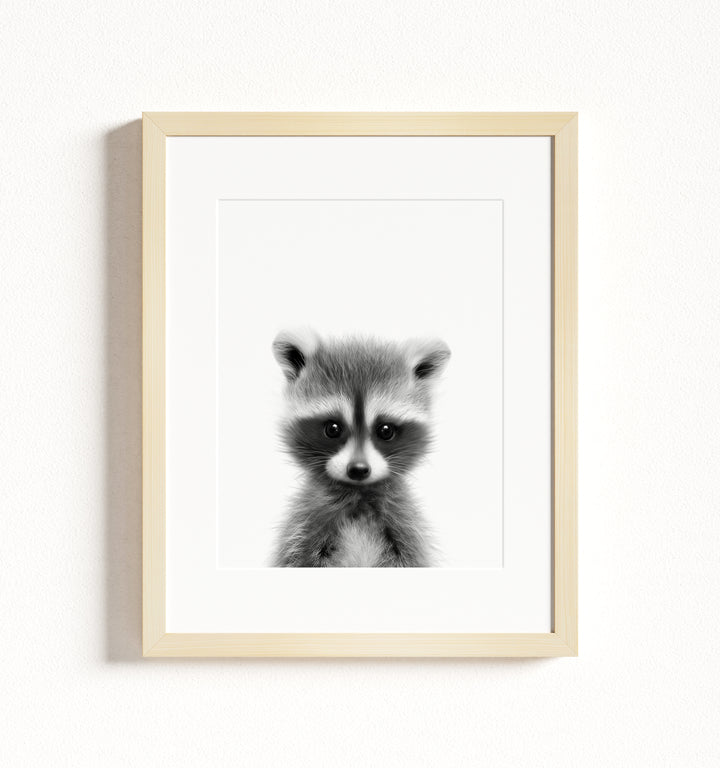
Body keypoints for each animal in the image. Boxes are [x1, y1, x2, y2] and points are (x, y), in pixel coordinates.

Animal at [271, 329, 450, 567]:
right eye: (333, 429)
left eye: (385, 430)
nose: (358, 469)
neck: (359, 495)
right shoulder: (305, 525)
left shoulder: (405, 526)